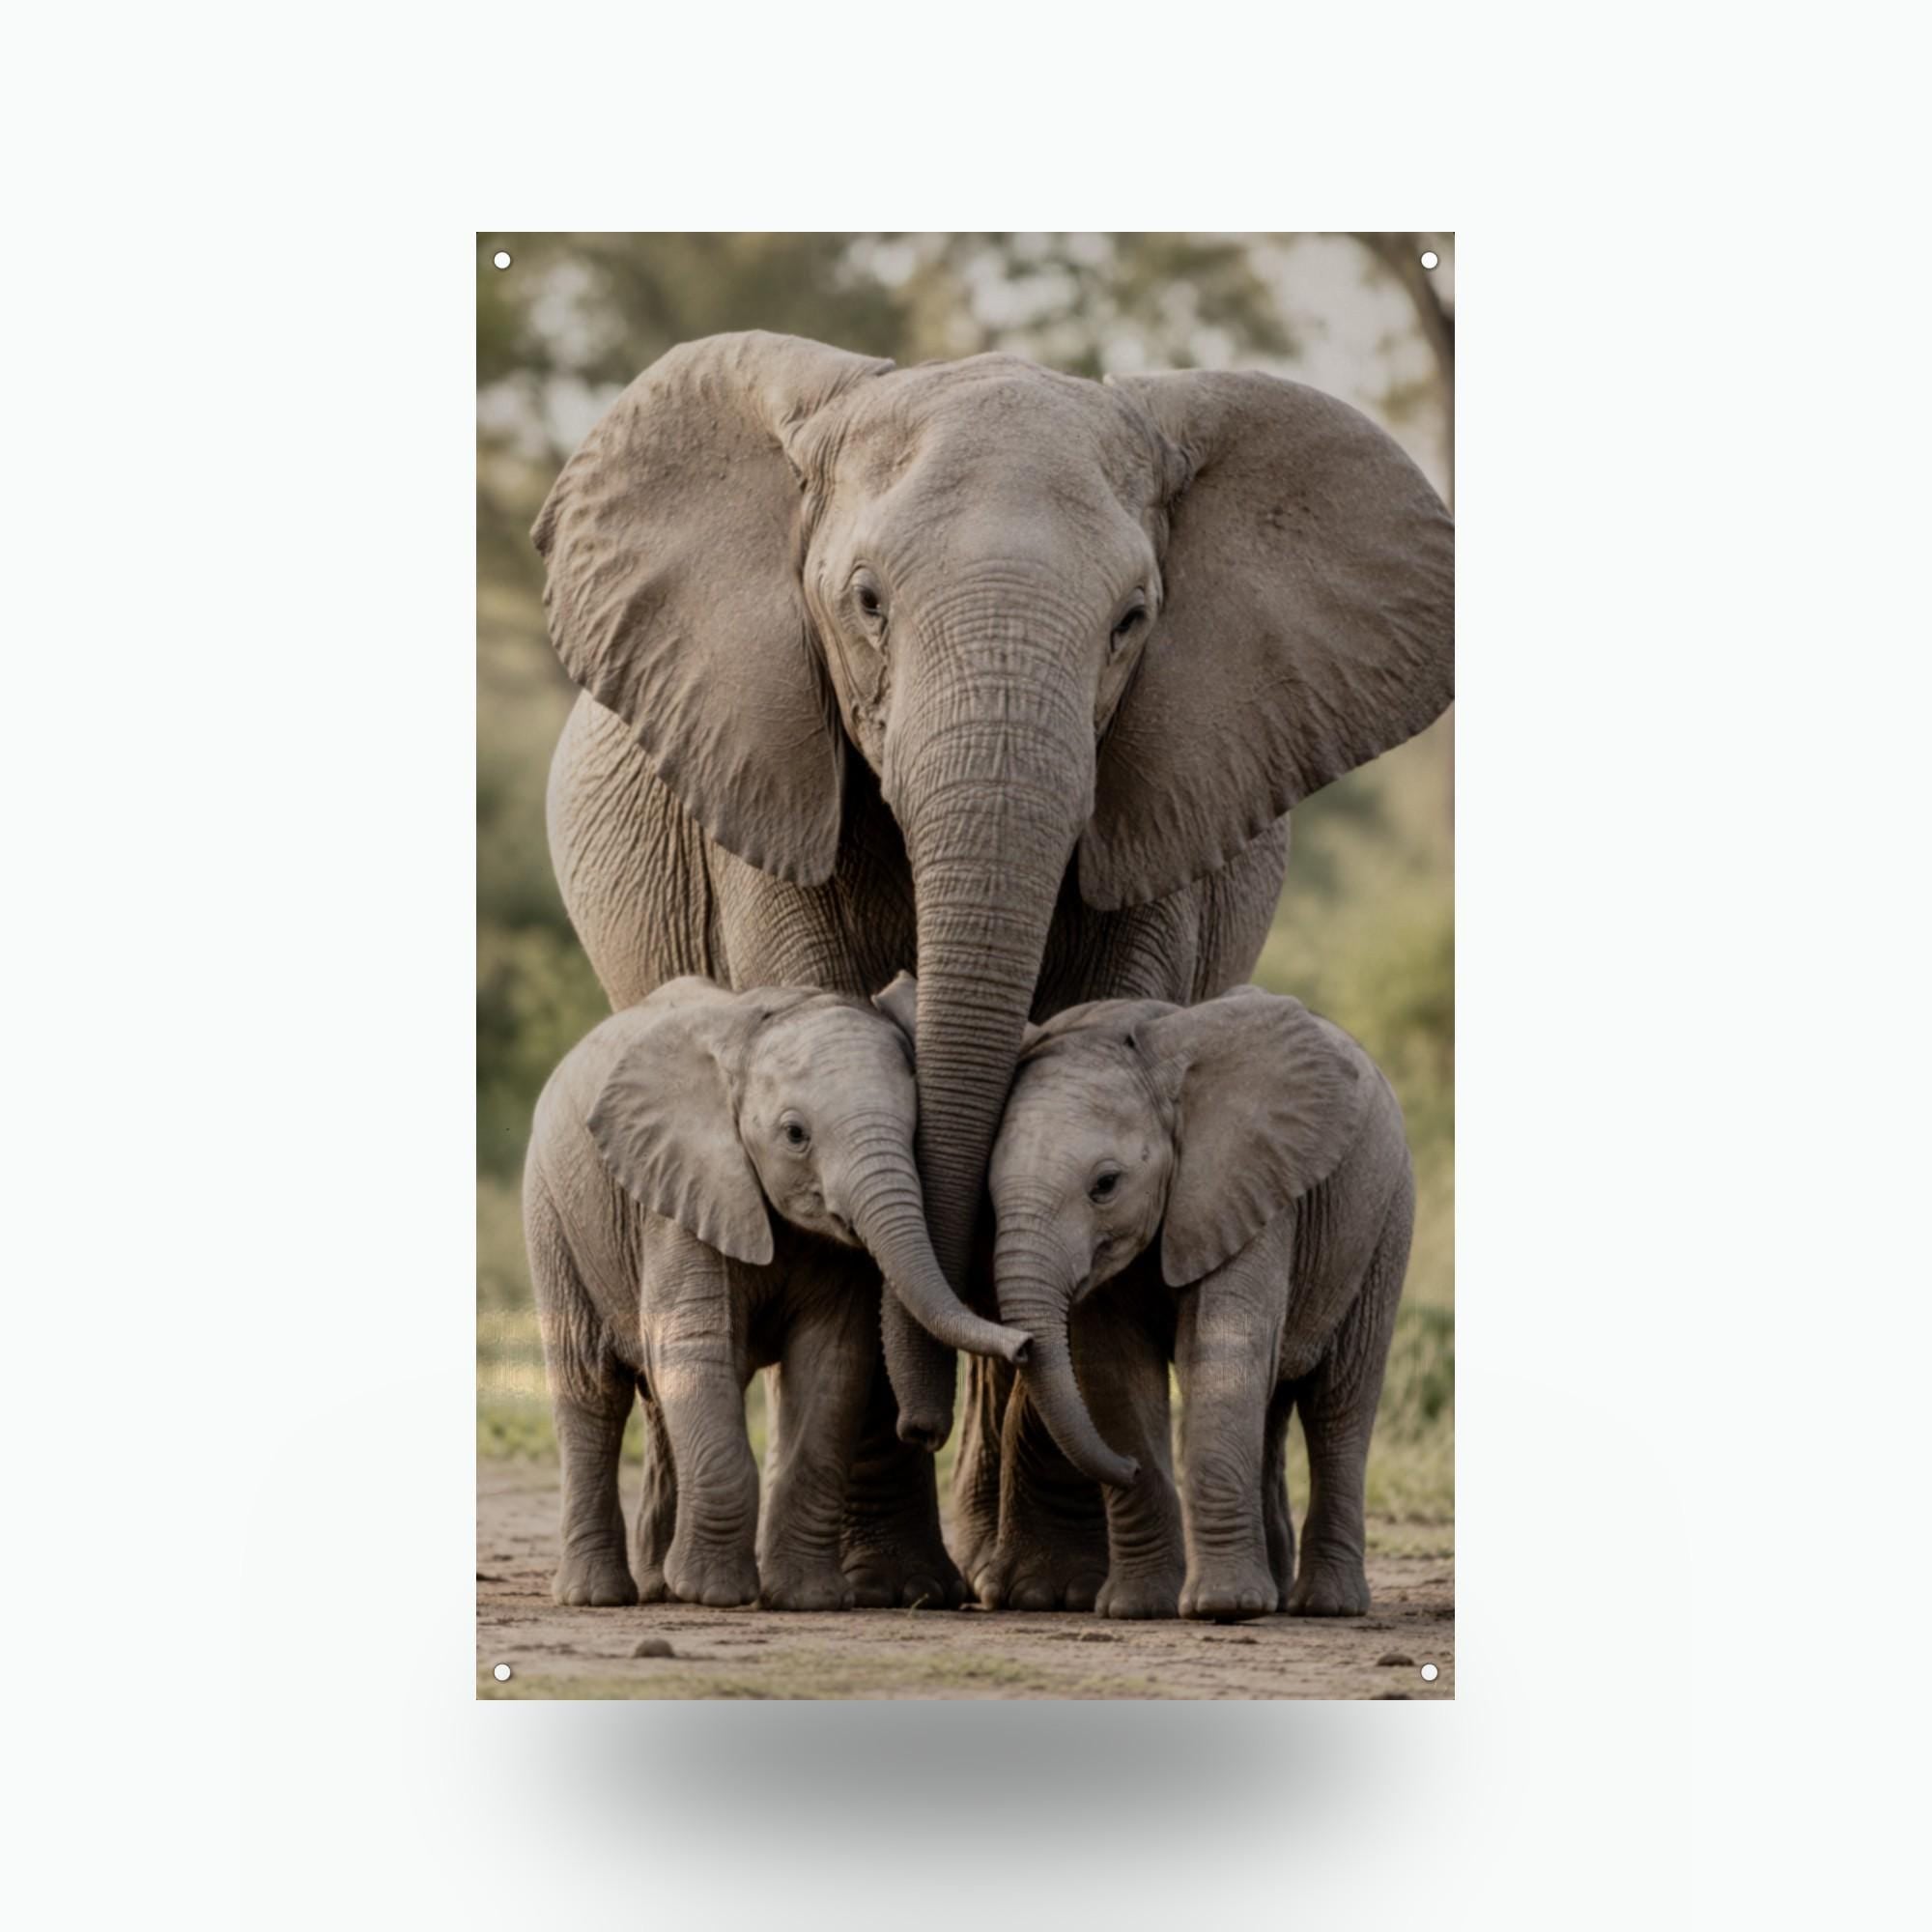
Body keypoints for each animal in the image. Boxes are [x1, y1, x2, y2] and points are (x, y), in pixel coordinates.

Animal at [522, 976, 1029, 1611]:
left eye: (915, 1131)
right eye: (795, 1135)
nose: (1025, 1344)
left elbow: (831, 1364)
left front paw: (809, 1599)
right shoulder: (684, 1194)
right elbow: (696, 1346)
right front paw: (714, 1595)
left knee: (660, 1400)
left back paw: (660, 1587)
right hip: (553, 1213)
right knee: (591, 1390)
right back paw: (597, 1596)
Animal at [981, 983, 1414, 1621]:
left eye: (1105, 1185)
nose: (1128, 1468)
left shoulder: (1250, 1186)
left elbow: (1219, 1355)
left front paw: (1224, 1606)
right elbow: (1113, 1374)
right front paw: (1137, 1608)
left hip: (1384, 1220)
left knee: (1338, 1405)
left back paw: (1325, 1605)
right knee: (1273, 1404)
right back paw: (1277, 1593)